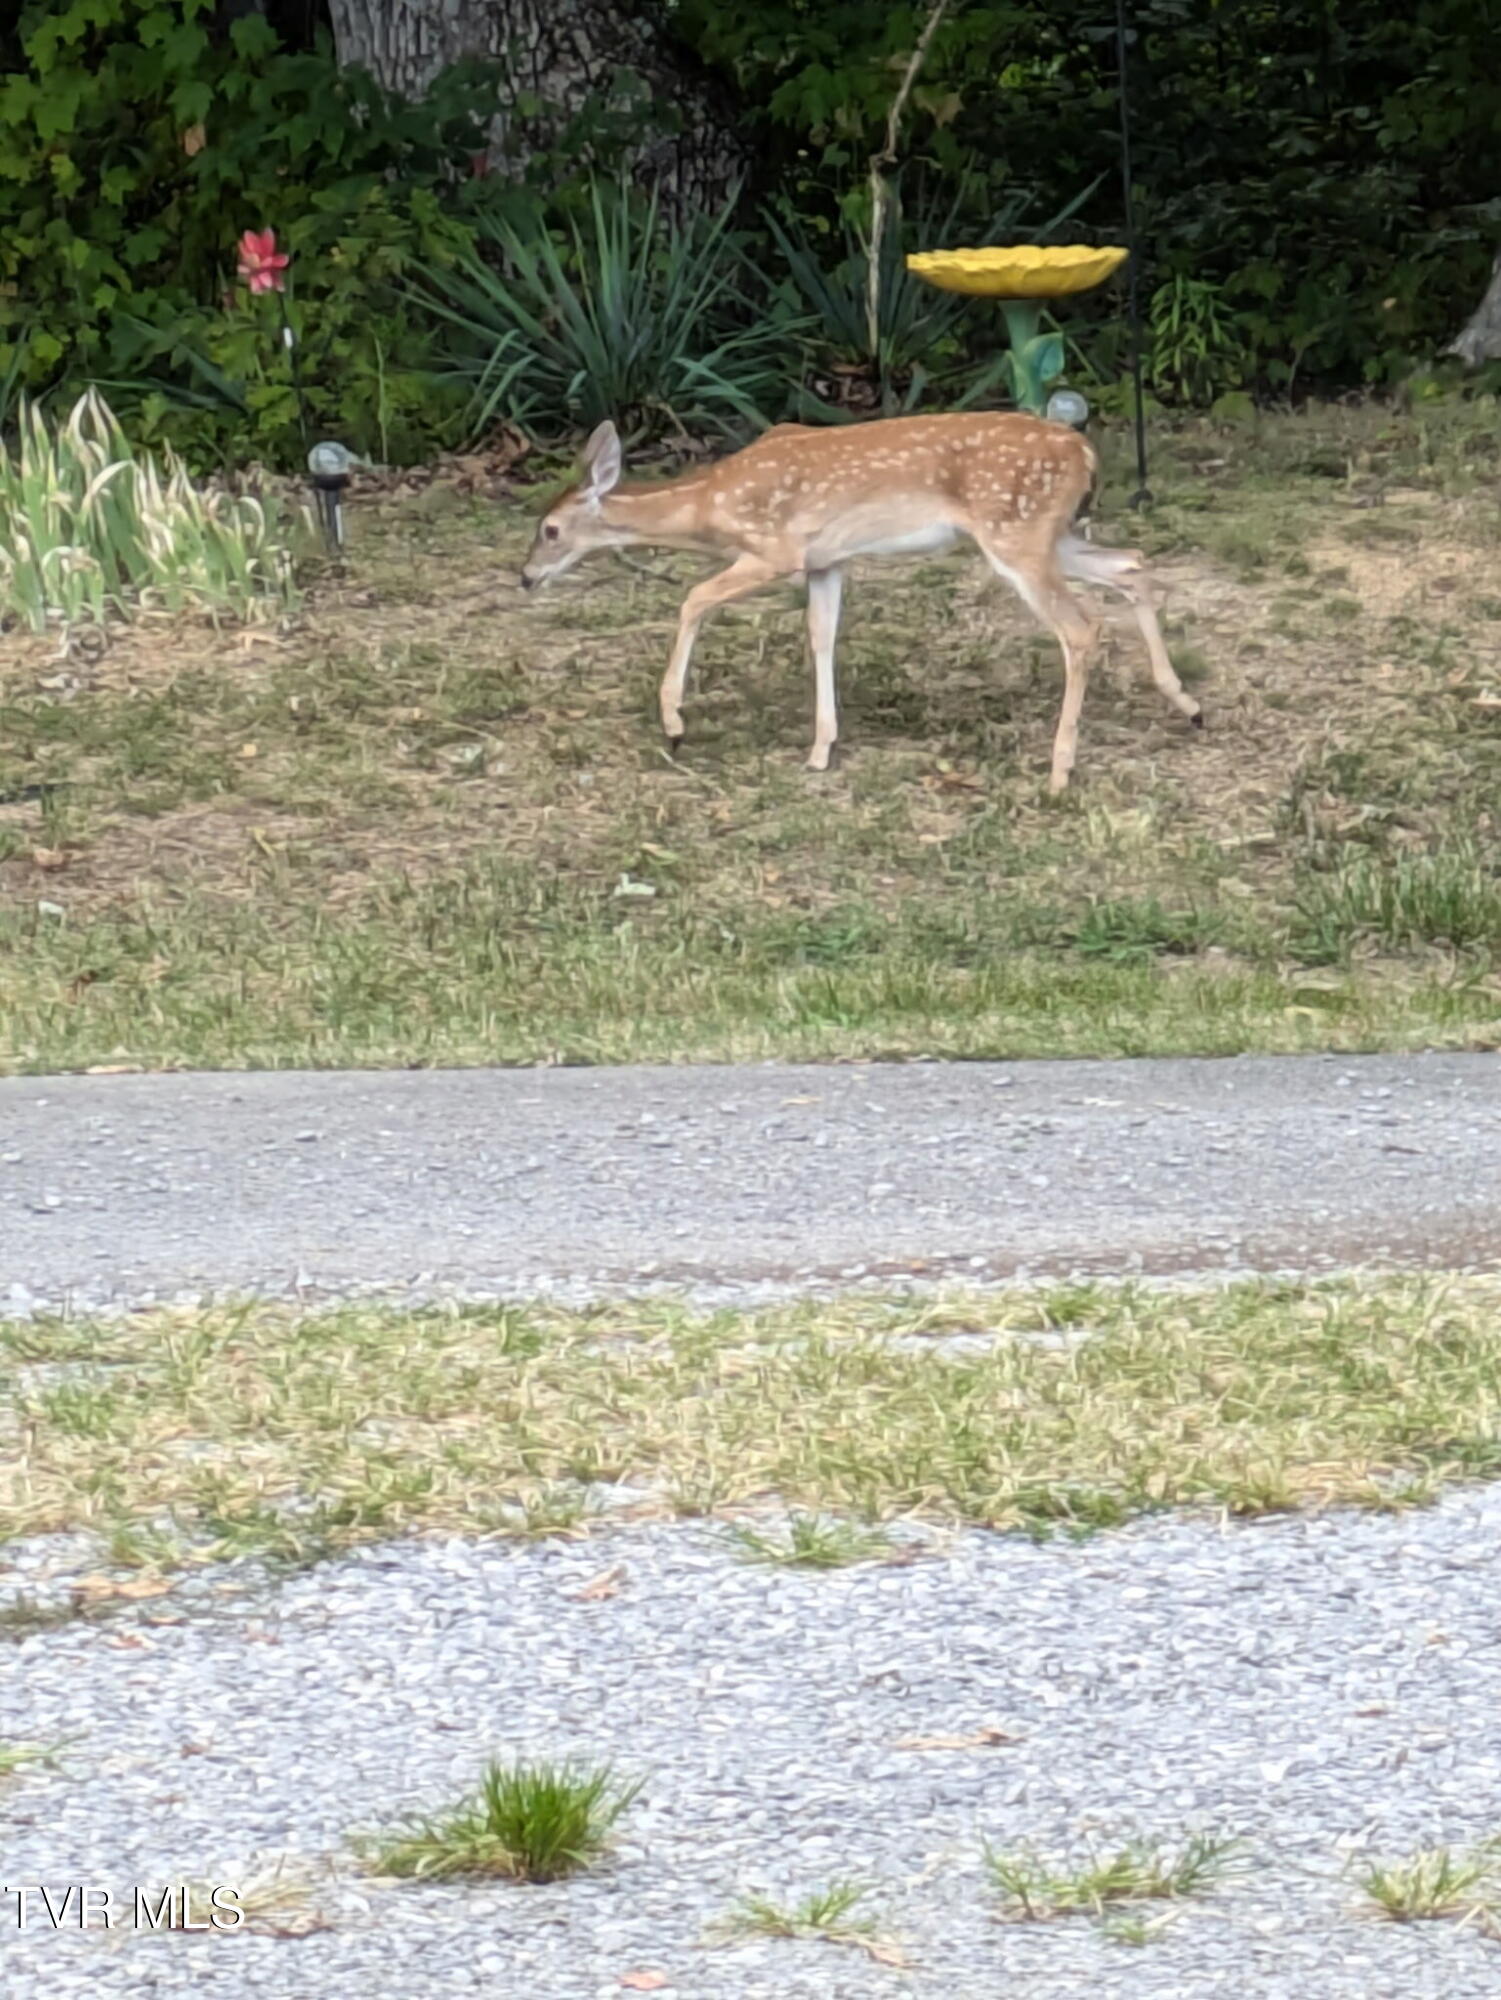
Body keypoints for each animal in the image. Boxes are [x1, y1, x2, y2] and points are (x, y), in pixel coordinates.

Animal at [518, 413, 1202, 791]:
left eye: (549, 530)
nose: (525, 577)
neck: (709, 505)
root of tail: (1084, 452)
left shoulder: (778, 550)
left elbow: (692, 598)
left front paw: (674, 724)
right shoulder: (827, 561)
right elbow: (821, 636)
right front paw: (821, 750)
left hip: (1016, 531)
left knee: (1081, 627)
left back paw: (1059, 771)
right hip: (1049, 534)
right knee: (1133, 565)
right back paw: (1188, 705)